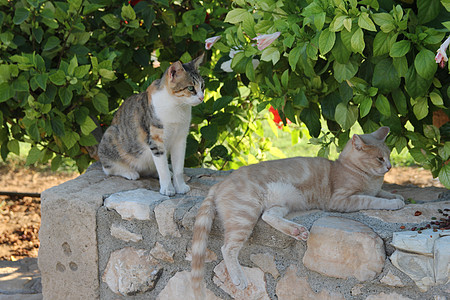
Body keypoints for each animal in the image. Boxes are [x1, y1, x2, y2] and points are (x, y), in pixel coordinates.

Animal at [99, 53, 206, 196]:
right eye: (191, 88)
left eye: (202, 86)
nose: (201, 97)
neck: (177, 107)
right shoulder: (156, 140)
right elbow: (163, 169)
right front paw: (167, 189)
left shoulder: (180, 139)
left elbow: (178, 168)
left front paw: (180, 186)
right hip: (110, 135)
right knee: (108, 168)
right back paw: (130, 172)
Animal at [190, 125, 404, 296]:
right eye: (379, 158)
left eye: (389, 156)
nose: (389, 166)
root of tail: (219, 184)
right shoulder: (341, 200)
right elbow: (371, 199)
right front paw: (394, 203)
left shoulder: (373, 190)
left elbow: (382, 193)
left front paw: (397, 197)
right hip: (245, 212)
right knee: (228, 248)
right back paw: (238, 277)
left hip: (280, 204)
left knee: (268, 216)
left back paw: (297, 231)